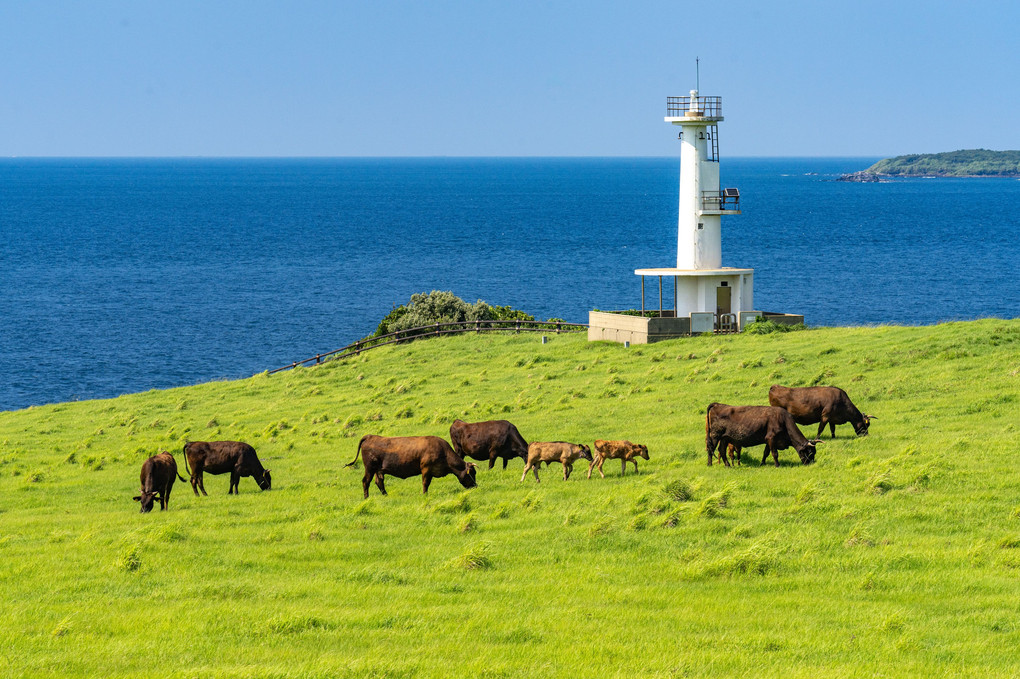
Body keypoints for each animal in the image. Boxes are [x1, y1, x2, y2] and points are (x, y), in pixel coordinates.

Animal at [346, 434, 477, 497]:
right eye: (472, 473)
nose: (475, 486)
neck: (443, 452)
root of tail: (370, 436)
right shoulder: (426, 470)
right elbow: (425, 484)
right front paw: (424, 495)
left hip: (378, 470)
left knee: (379, 482)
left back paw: (386, 495)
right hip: (370, 468)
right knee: (366, 481)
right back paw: (366, 497)